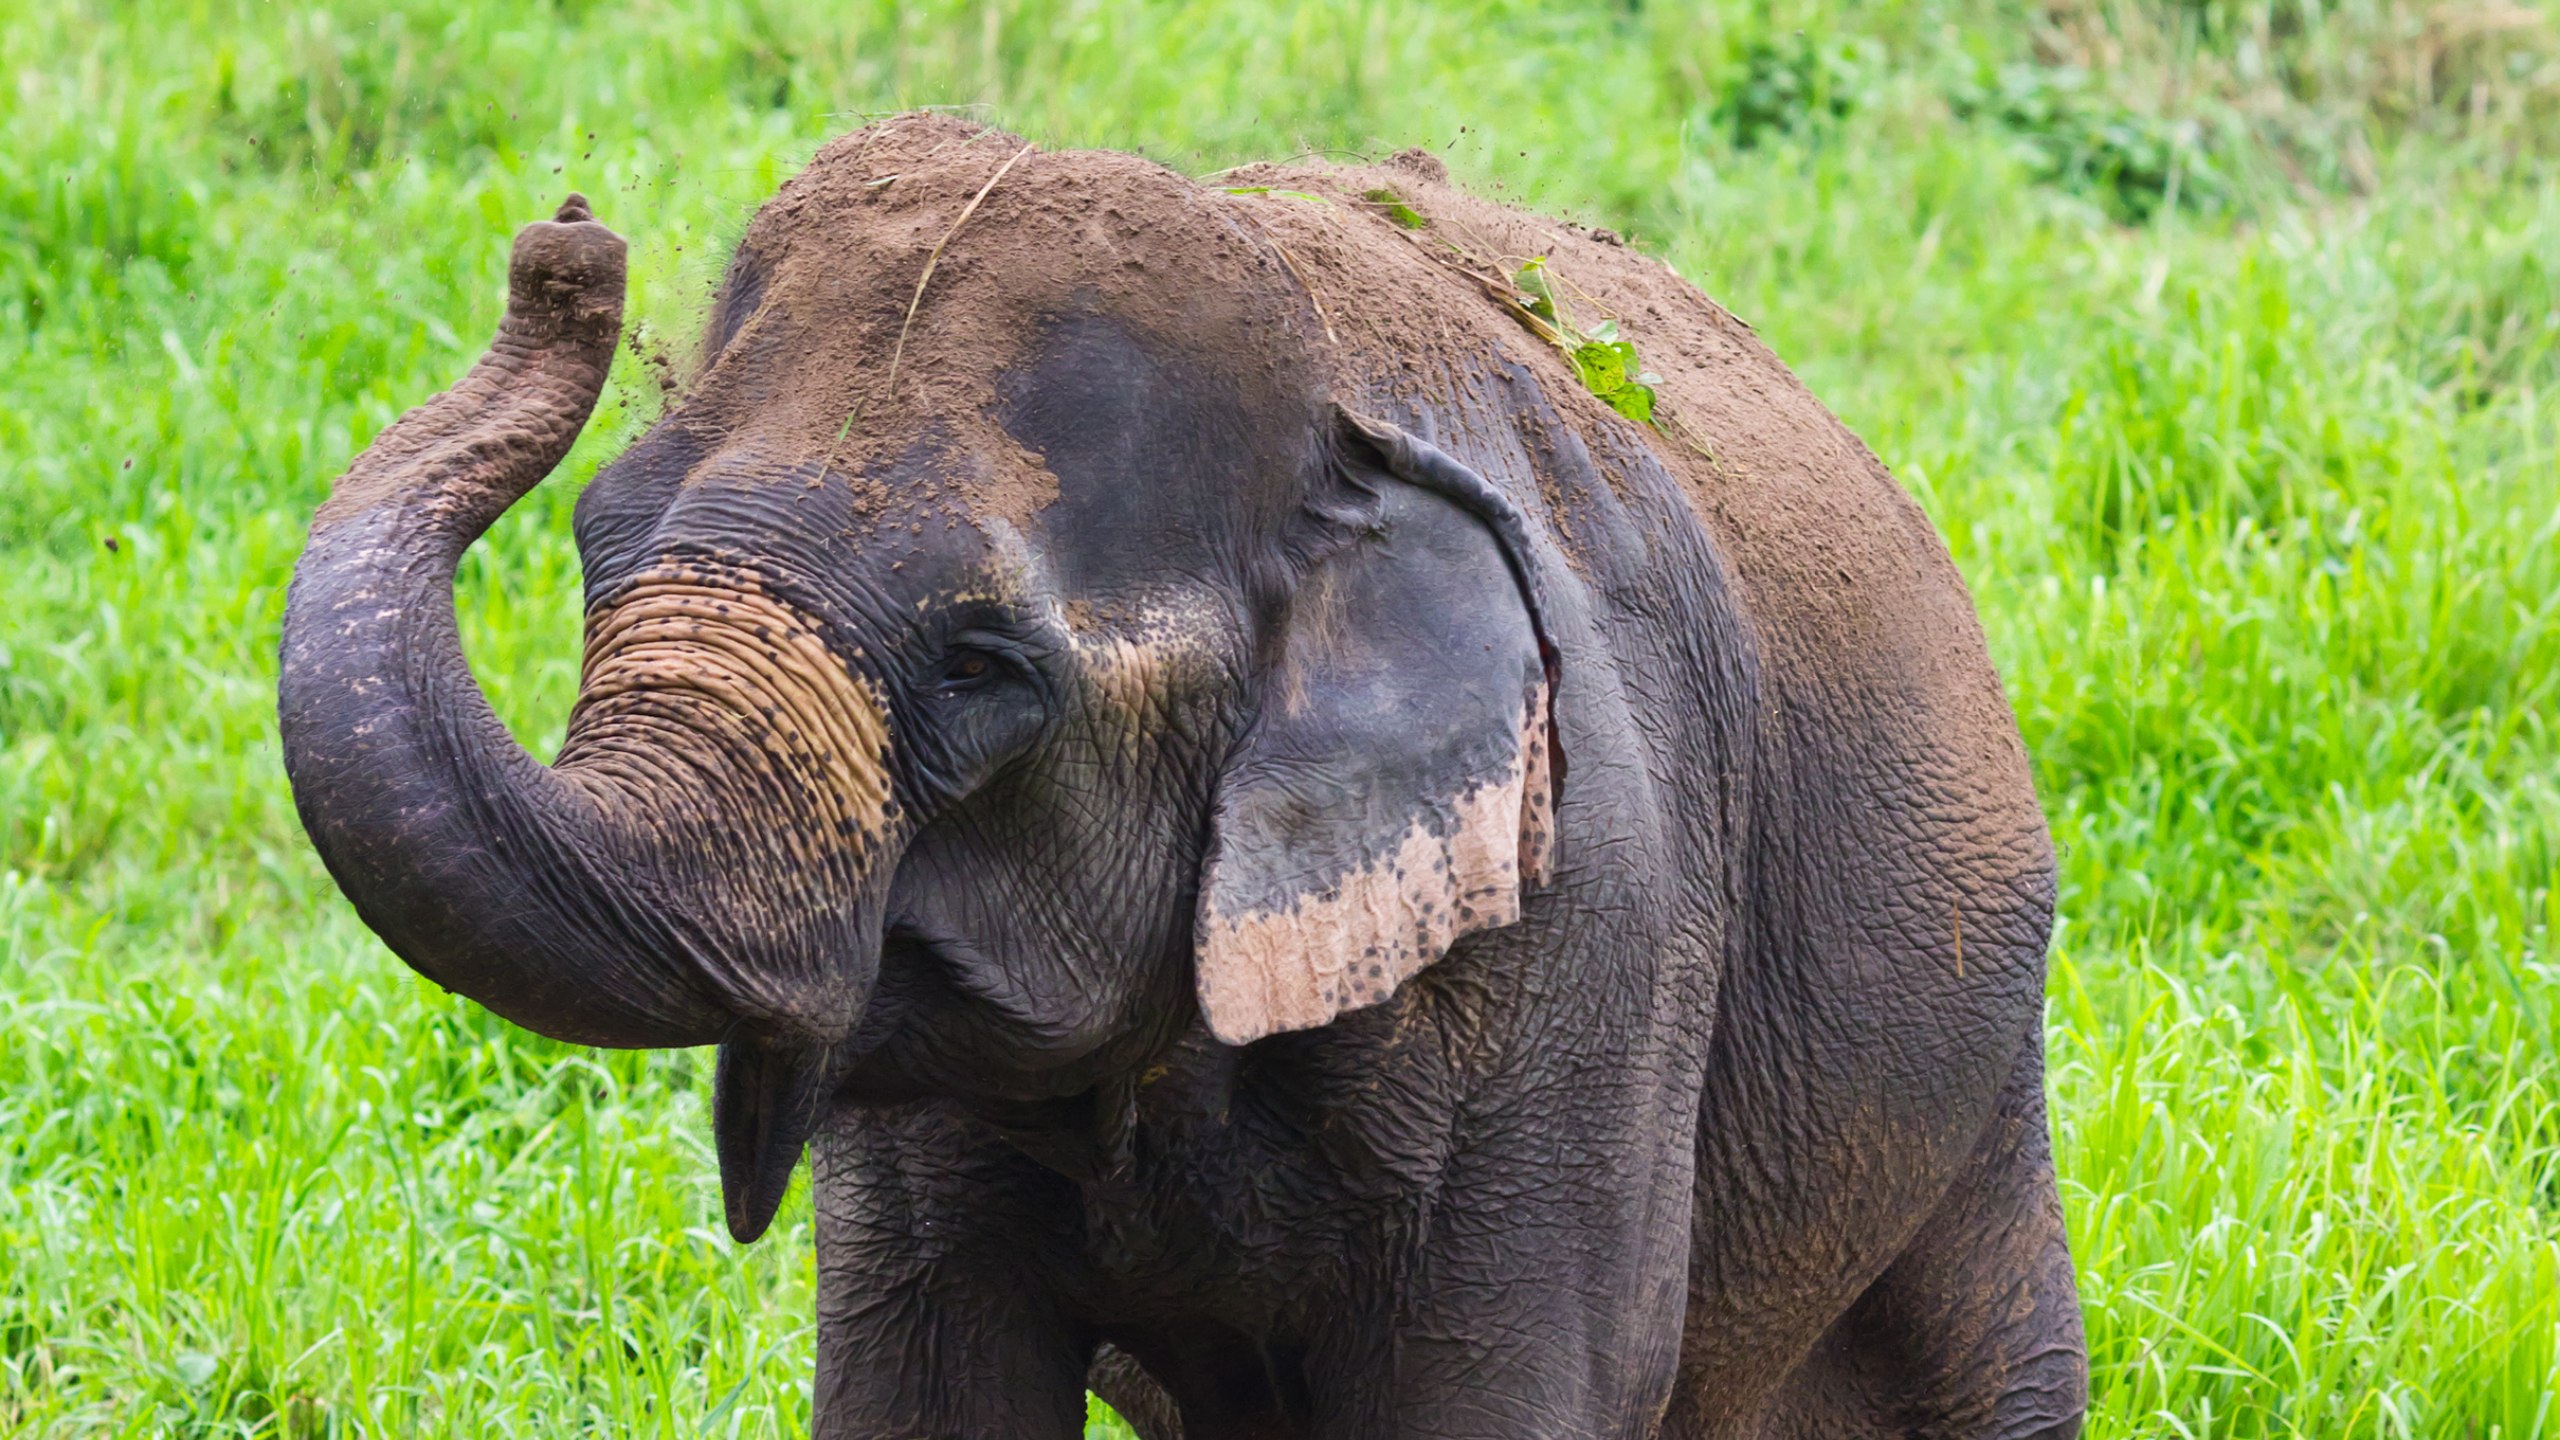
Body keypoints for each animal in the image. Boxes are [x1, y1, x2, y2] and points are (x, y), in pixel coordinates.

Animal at [275, 114, 2078, 1434]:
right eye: (597, 545)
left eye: (982, 668)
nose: (567, 245)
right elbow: (927, 1387)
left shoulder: (1586, 944)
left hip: (1975, 1058)